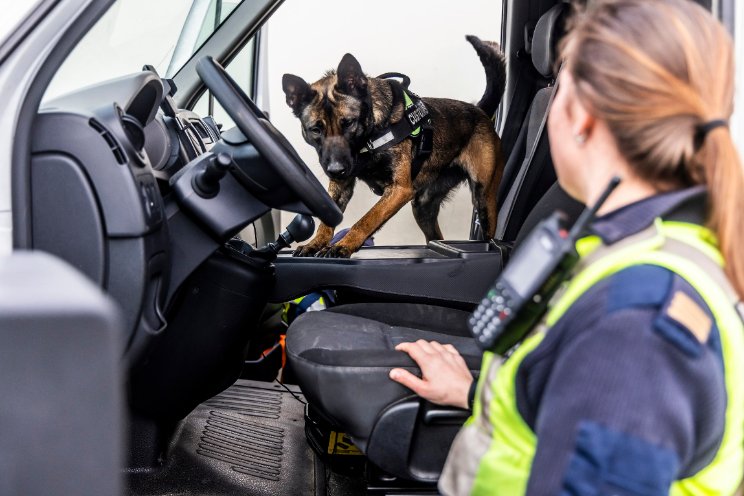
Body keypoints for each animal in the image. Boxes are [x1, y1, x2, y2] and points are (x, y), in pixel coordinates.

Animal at [284, 35, 506, 256]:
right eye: (315, 130)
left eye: (348, 123)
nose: (336, 170)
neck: (371, 137)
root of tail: (478, 110)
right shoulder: (341, 186)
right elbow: (327, 217)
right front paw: (316, 242)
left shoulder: (399, 189)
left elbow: (367, 219)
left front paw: (344, 244)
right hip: (423, 207)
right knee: (435, 238)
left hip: (484, 200)